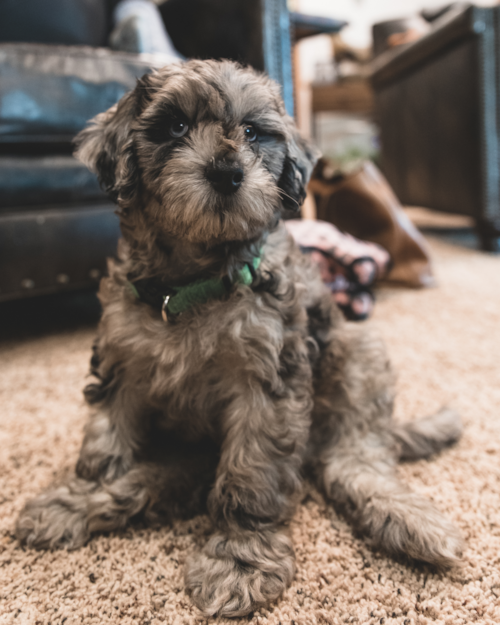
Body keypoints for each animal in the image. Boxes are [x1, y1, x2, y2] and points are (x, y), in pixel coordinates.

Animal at [15, 61, 462, 616]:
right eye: (176, 127)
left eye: (251, 132)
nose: (227, 173)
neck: (192, 284)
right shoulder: (121, 366)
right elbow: (104, 451)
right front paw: (80, 495)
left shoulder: (266, 382)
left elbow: (250, 475)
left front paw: (240, 558)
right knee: (147, 483)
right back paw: (75, 507)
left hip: (359, 355)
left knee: (354, 461)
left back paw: (409, 521)